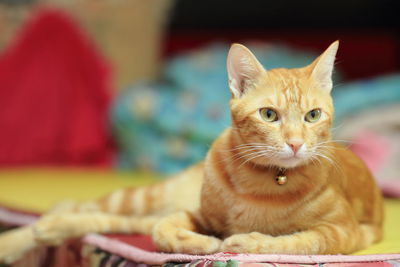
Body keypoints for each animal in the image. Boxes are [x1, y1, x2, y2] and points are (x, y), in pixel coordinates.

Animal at [0, 40, 382, 264]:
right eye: (269, 115)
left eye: (313, 116)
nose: (295, 143)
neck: (262, 183)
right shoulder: (198, 214)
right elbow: (163, 231)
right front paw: (204, 245)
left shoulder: (344, 230)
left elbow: (299, 243)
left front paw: (244, 243)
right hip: (147, 197)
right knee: (87, 209)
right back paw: (28, 233)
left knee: (107, 219)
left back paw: (44, 230)